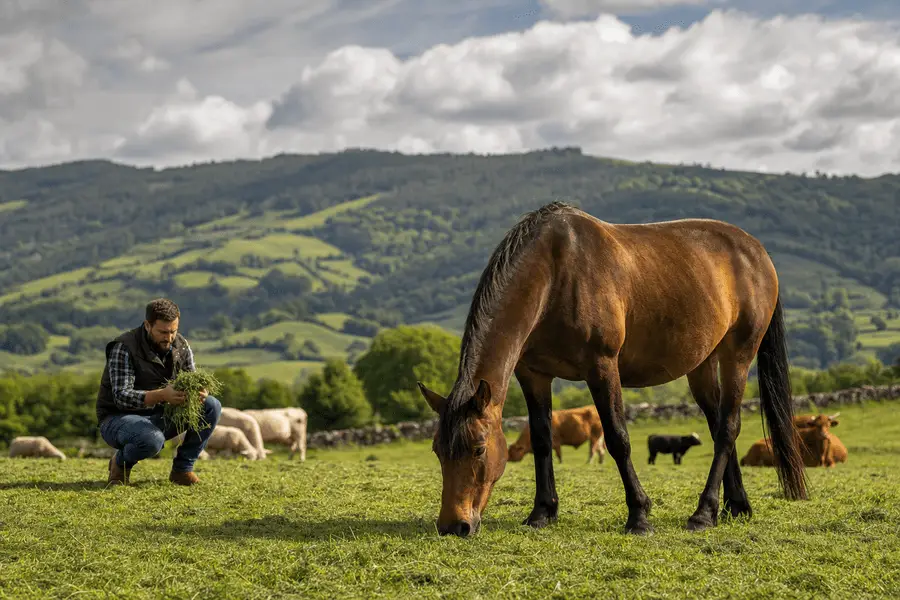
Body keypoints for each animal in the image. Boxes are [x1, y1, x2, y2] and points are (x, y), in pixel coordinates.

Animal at [417, 201, 807, 538]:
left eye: (479, 449)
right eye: (438, 450)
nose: (454, 525)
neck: (555, 273)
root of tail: (756, 252)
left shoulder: (602, 368)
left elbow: (618, 438)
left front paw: (639, 516)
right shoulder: (533, 375)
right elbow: (542, 440)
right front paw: (542, 512)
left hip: (737, 356)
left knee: (727, 428)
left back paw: (703, 513)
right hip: (702, 365)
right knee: (717, 426)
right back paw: (735, 506)